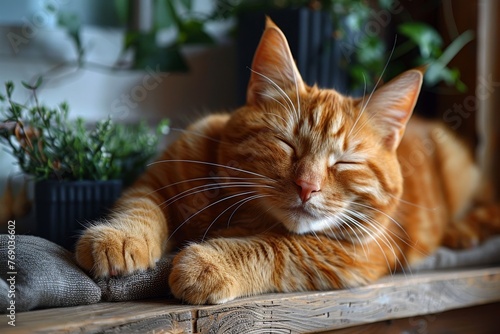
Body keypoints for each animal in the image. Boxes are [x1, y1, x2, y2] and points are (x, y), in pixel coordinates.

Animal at [75, 18, 500, 306]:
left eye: (345, 163)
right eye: (287, 145)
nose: (306, 186)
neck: (247, 215)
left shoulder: (353, 255)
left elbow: (276, 246)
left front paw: (210, 263)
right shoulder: (160, 177)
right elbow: (140, 206)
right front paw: (120, 237)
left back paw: (460, 232)